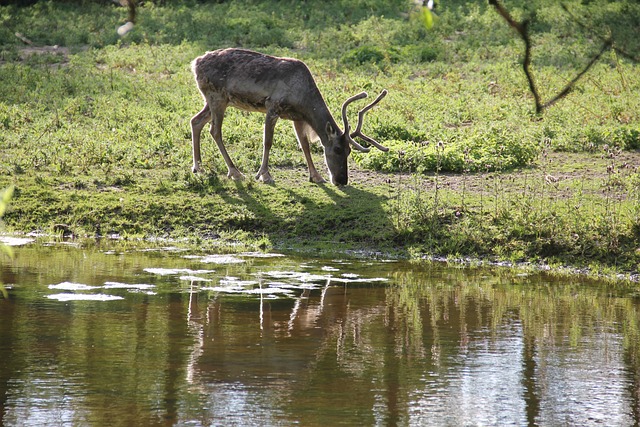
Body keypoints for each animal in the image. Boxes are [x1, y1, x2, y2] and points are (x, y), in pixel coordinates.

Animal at [190, 48, 388, 186]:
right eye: (338, 149)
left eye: (349, 151)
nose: (342, 180)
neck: (303, 99)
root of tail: (195, 63)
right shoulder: (273, 106)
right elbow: (268, 142)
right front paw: (264, 175)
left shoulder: (297, 117)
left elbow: (305, 145)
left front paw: (316, 176)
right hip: (217, 97)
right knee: (215, 130)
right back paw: (234, 171)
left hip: (214, 100)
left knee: (195, 121)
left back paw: (198, 167)